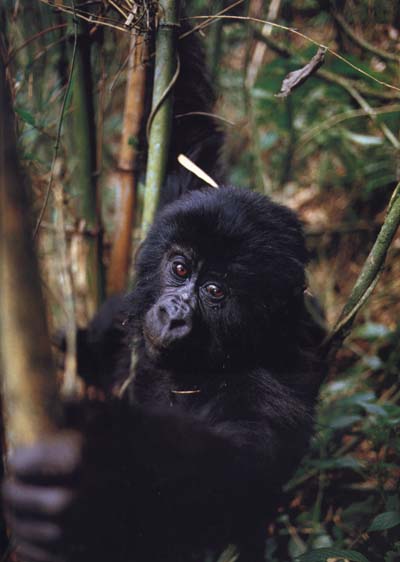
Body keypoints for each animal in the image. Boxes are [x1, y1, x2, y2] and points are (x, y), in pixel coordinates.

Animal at [2, 187, 322, 560]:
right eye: (180, 268)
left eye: (214, 291)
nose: (173, 315)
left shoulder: (268, 396)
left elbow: (219, 481)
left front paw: (92, 475)